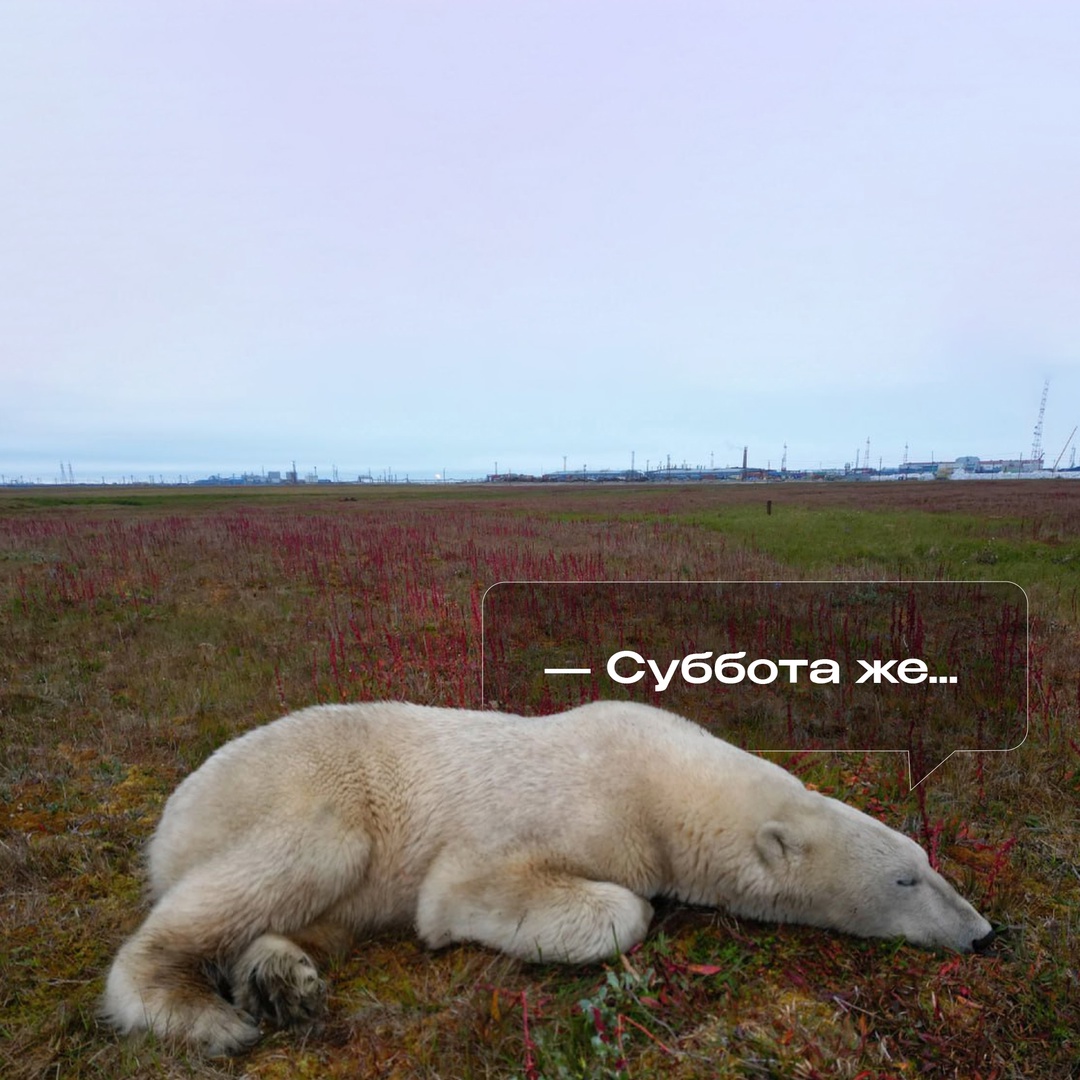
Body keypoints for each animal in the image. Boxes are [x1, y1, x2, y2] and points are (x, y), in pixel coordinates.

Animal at [103, 699, 993, 1054]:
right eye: (906, 880)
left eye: (929, 861)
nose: (984, 933)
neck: (660, 783)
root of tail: (173, 810)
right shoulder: (560, 808)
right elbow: (466, 890)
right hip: (306, 791)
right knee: (293, 861)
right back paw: (203, 1014)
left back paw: (281, 978)